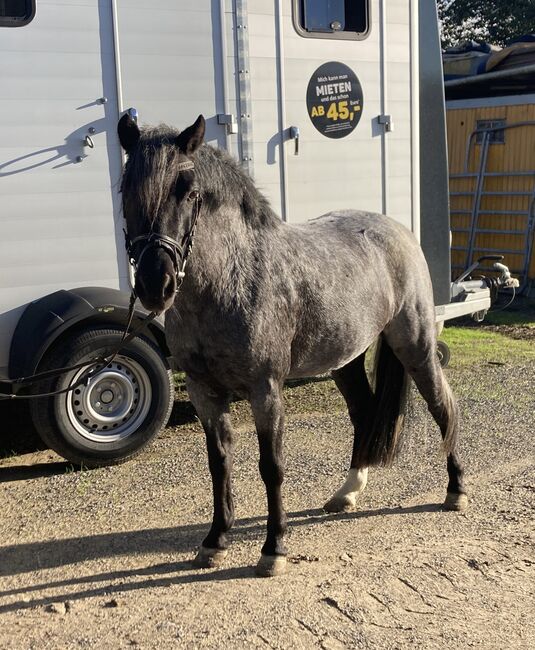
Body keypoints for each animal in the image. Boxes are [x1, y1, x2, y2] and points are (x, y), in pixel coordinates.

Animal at [118, 114, 468, 576]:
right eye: (125, 190)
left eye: (190, 192)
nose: (156, 285)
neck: (232, 279)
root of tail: (397, 230)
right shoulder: (203, 391)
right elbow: (219, 463)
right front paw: (215, 541)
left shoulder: (265, 389)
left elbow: (271, 467)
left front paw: (274, 548)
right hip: (346, 361)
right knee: (363, 413)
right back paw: (347, 492)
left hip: (416, 346)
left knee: (442, 407)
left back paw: (456, 489)